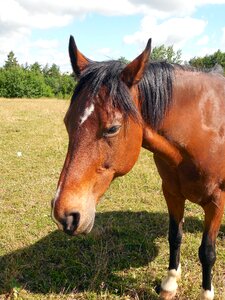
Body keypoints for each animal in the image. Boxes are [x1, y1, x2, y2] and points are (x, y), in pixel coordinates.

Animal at [51, 35, 225, 300]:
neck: (202, 128)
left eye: (112, 128)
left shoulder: (216, 201)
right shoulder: (172, 192)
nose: (64, 215)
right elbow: (175, 236)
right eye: (66, 122)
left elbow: (207, 252)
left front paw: (206, 293)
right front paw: (169, 283)